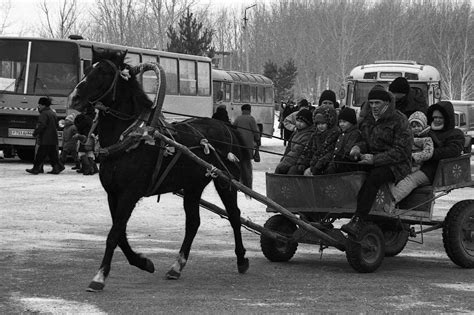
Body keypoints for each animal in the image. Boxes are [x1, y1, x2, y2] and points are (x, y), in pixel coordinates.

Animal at [70, 48, 252, 292]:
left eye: (105, 72)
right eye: (88, 68)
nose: (75, 97)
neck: (130, 137)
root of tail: (224, 125)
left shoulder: (130, 193)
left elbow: (114, 233)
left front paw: (99, 276)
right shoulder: (113, 193)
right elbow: (120, 233)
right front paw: (143, 262)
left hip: (224, 181)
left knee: (234, 215)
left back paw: (241, 259)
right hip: (193, 185)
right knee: (193, 222)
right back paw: (177, 266)